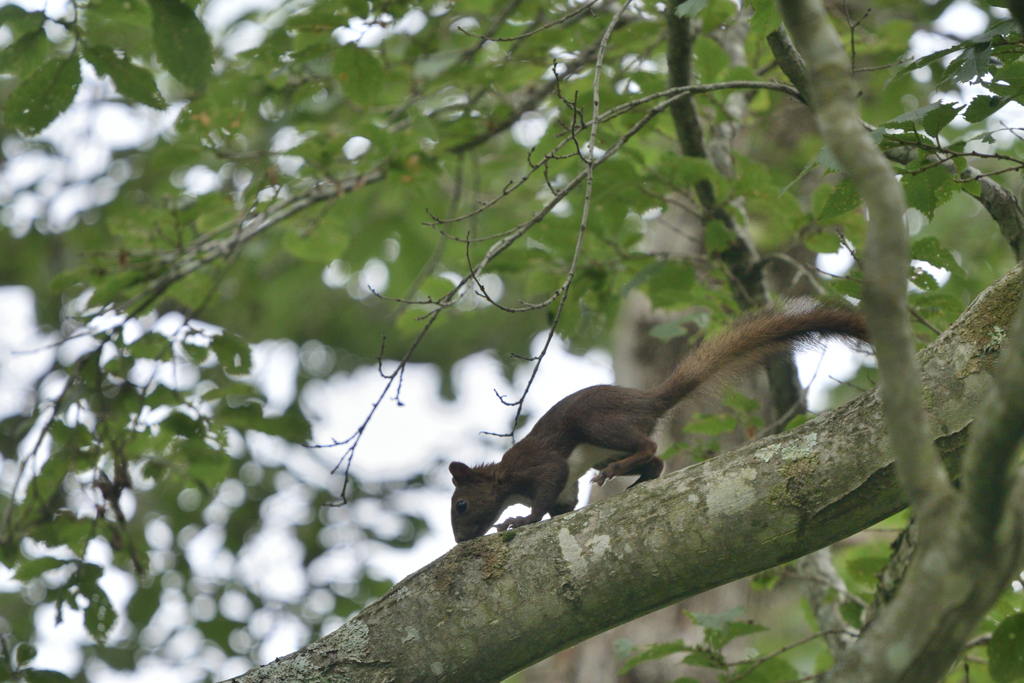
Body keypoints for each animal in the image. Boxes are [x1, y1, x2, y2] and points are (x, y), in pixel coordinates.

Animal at [444, 305, 868, 544]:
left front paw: (520, 519)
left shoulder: (539, 466)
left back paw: (619, 472)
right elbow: (563, 505)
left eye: (461, 505)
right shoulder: (565, 491)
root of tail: (648, 401)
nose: (461, 541)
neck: (505, 480)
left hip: (597, 423)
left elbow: (546, 486)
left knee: (648, 449)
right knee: (656, 462)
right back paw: (636, 481)